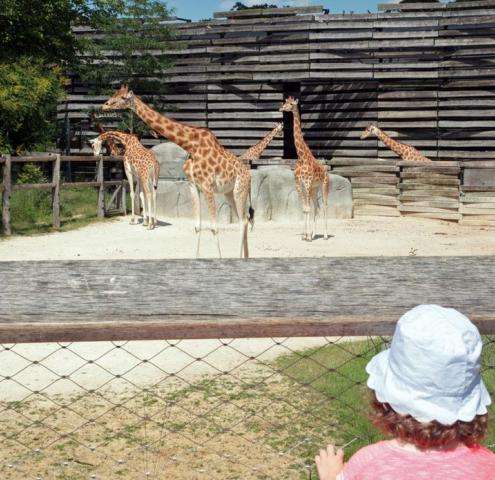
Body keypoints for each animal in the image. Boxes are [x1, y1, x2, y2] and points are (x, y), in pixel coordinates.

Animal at [102, 85, 254, 258]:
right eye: (115, 93)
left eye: (122, 97)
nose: (105, 105)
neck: (191, 145)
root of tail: (249, 176)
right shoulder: (193, 185)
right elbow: (197, 226)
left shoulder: (207, 186)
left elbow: (214, 228)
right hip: (229, 193)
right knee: (244, 219)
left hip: (239, 190)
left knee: (243, 221)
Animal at [280, 96, 330, 242]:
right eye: (285, 102)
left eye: (291, 104)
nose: (281, 108)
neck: (301, 157)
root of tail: (327, 171)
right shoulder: (298, 184)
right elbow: (304, 208)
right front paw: (305, 235)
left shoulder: (306, 183)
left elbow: (307, 208)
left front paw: (306, 235)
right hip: (314, 189)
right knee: (316, 207)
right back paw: (313, 234)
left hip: (324, 186)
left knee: (324, 206)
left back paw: (325, 235)